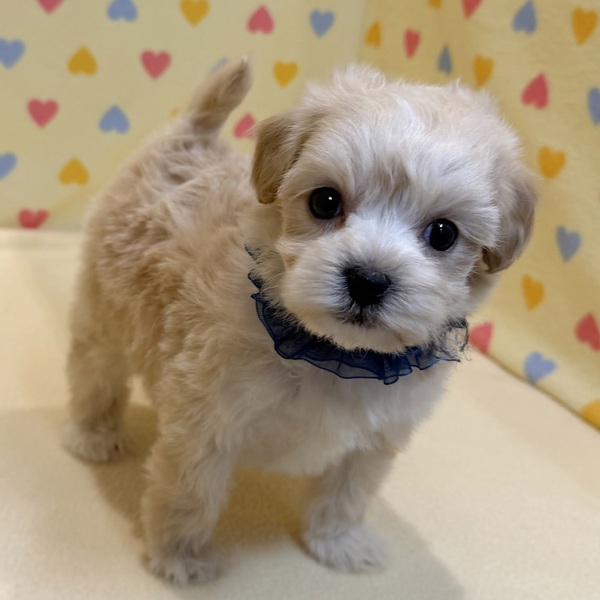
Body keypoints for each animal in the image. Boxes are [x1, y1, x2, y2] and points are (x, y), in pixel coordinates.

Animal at [64, 58, 536, 584]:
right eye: (325, 201)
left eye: (443, 234)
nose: (368, 279)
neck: (332, 352)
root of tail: (192, 137)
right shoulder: (205, 420)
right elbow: (190, 494)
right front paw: (180, 558)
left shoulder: (373, 441)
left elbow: (347, 494)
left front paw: (338, 544)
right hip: (105, 304)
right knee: (96, 370)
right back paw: (94, 434)